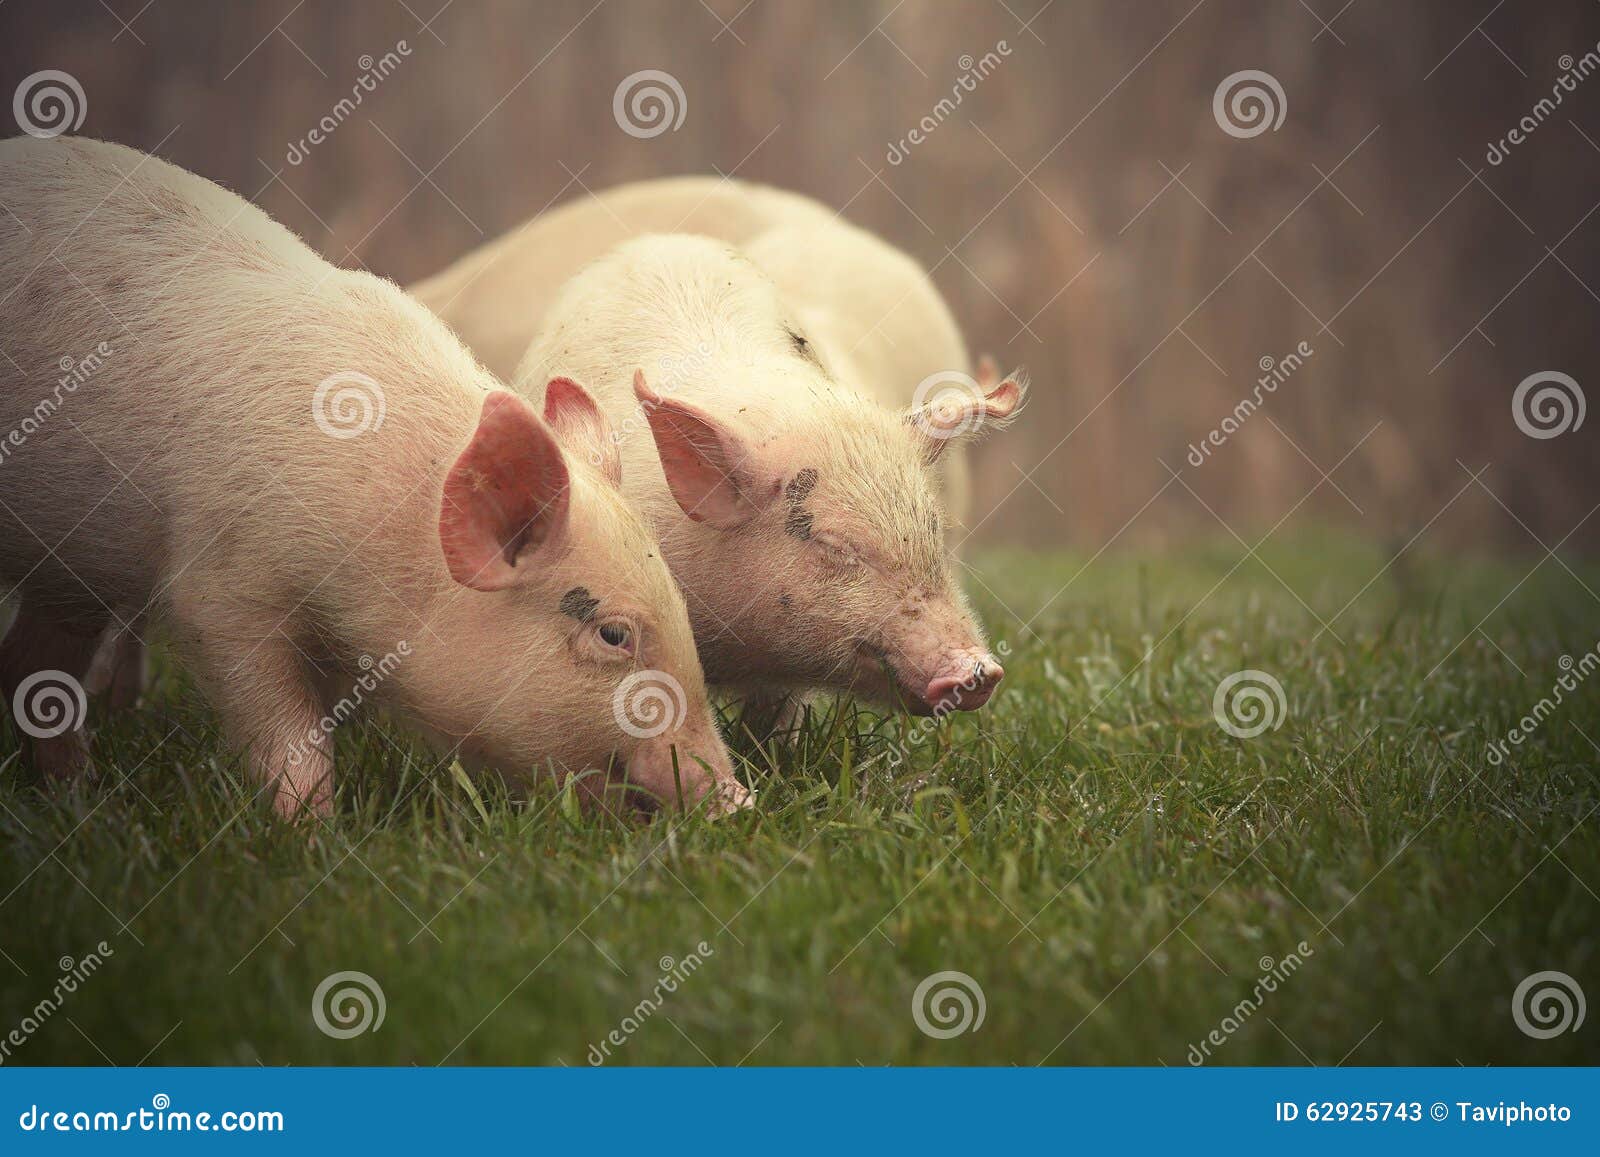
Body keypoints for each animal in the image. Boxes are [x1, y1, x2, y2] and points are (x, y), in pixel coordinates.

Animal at [0, 136, 742, 819]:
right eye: (613, 634)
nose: (737, 799)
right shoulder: (222, 589)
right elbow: (285, 734)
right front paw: (310, 834)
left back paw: (71, 797)